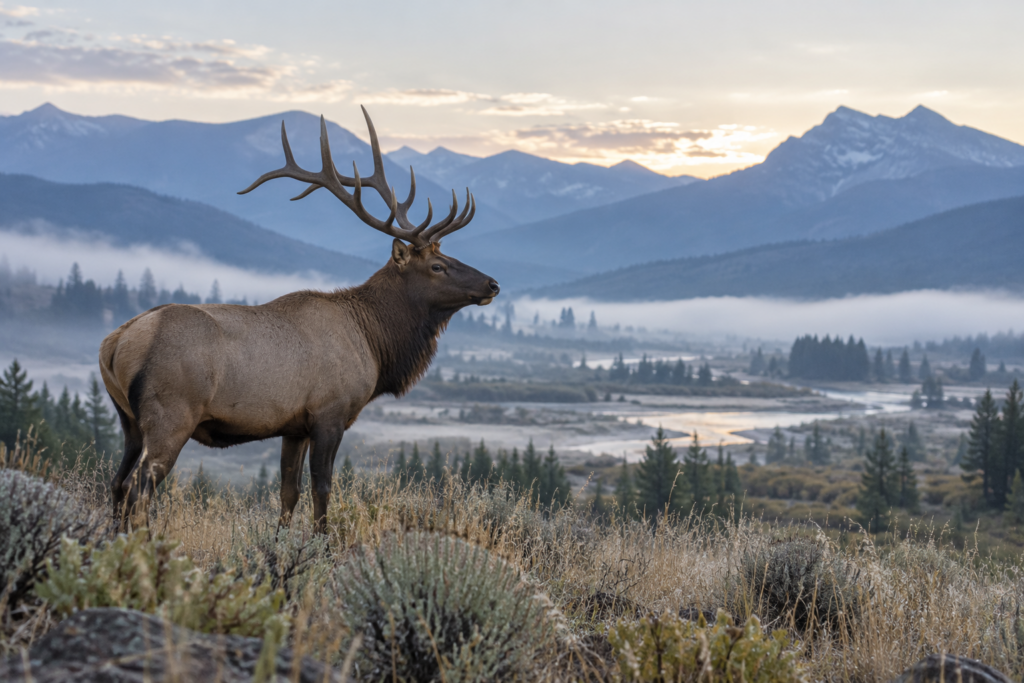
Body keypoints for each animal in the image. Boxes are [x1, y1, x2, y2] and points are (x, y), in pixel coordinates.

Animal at [99, 107, 499, 533]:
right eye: (438, 266)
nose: (492, 284)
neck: (376, 342)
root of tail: (114, 344)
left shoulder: (294, 427)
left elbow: (287, 492)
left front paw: (281, 541)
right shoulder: (330, 412)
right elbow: (322, 489)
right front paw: (322, 542)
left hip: (129, 421)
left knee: (118, 482)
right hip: (171, 414)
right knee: (140, 486)